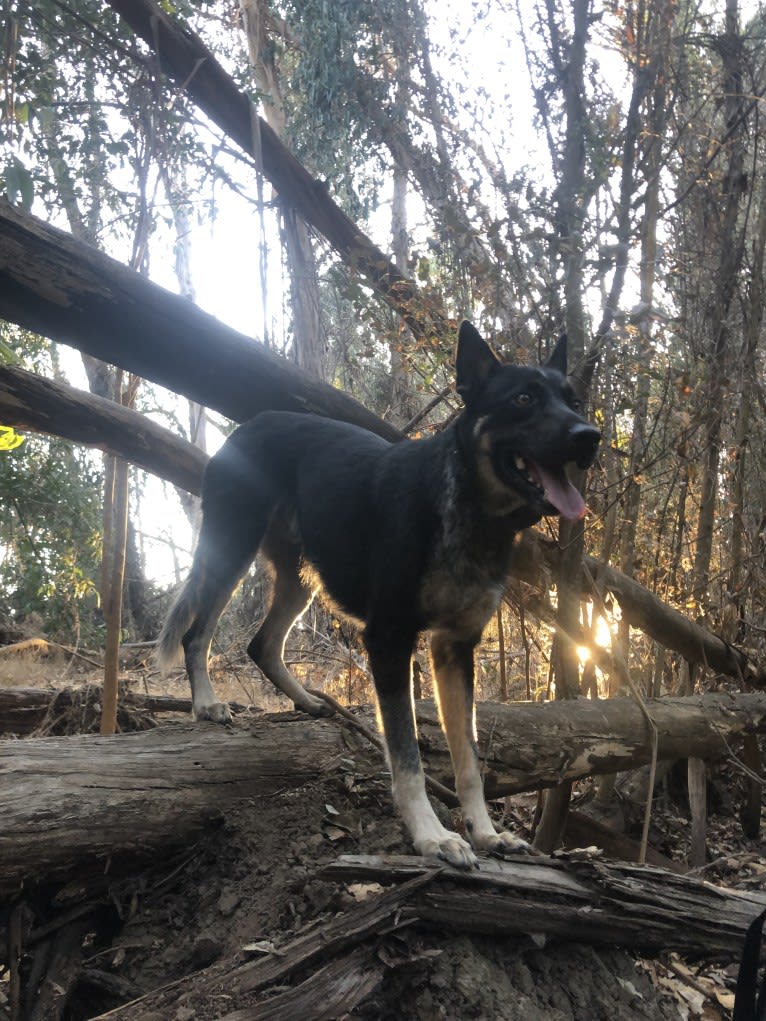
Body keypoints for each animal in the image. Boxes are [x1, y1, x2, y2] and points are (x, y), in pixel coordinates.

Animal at [157, 322, 600, 865]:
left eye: (573, 401)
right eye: (523, 399)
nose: (590, 437)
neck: (467, 508)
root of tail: (244, 428)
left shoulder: (455, 648)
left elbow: (469, 758)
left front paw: (485, 832)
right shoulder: (389, 640)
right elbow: (408, 756)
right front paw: (432, 835)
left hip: (300, 578)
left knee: (261, 644)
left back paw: (307, 701)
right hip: (231, 549)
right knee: (197, 633)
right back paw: (206, 704)